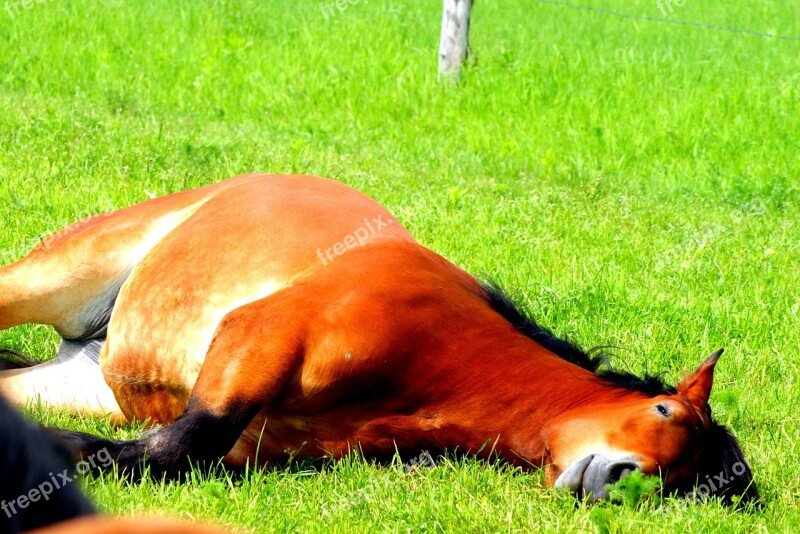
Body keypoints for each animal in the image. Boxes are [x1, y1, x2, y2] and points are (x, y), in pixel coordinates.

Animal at [0, 176, 760, 506]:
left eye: (679, 483)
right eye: (664, 411)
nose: (620, 480)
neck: (445, 351)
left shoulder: (262, 442)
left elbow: (171, 453)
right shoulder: (260, 338)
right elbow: (181, 446)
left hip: (79, 381)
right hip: (49, 277)